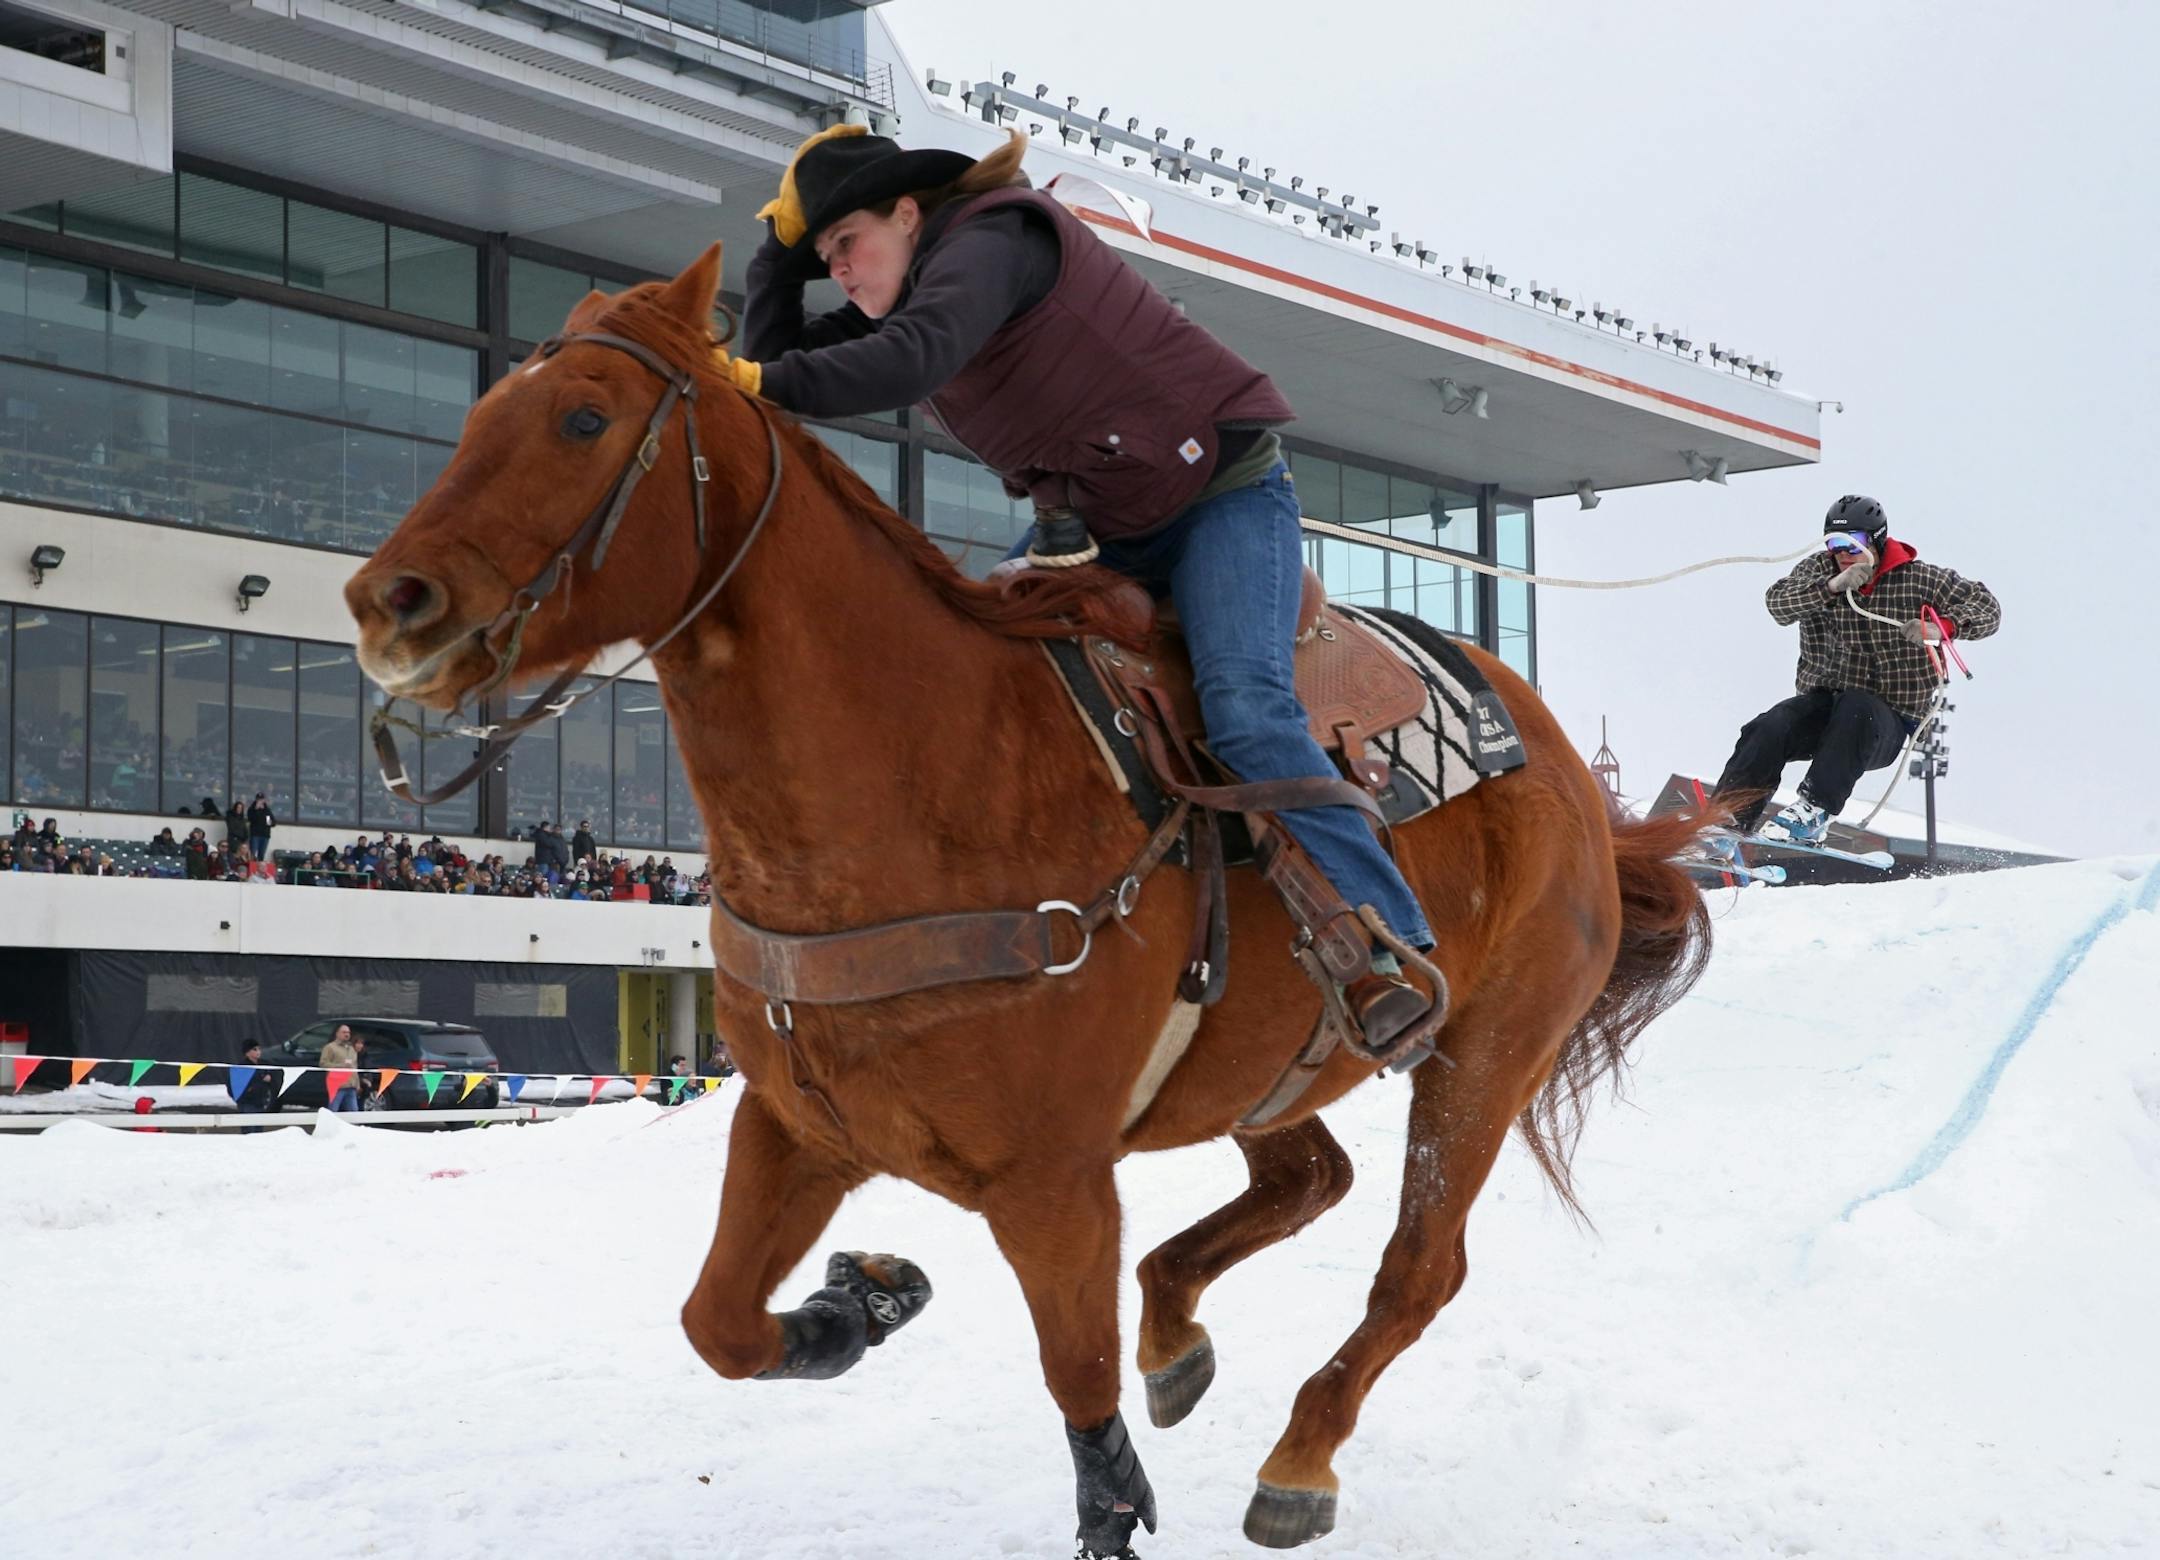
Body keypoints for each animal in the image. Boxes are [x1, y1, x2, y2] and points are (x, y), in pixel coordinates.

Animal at [345, 244, 1713, 1555]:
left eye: (583, 417)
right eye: (478, 412)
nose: (385, 604)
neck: (930, 780)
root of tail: (1570, 781)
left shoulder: (1052, 1181)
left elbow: (1081, 1399)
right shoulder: (793, 1128)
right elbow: (720, 1321)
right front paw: (864, 1298)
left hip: (1489, 1050)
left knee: (1418, 1268)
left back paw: (1298, 1459)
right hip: (1262, 1068)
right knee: (1306, 1182)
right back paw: (1179, 1336)